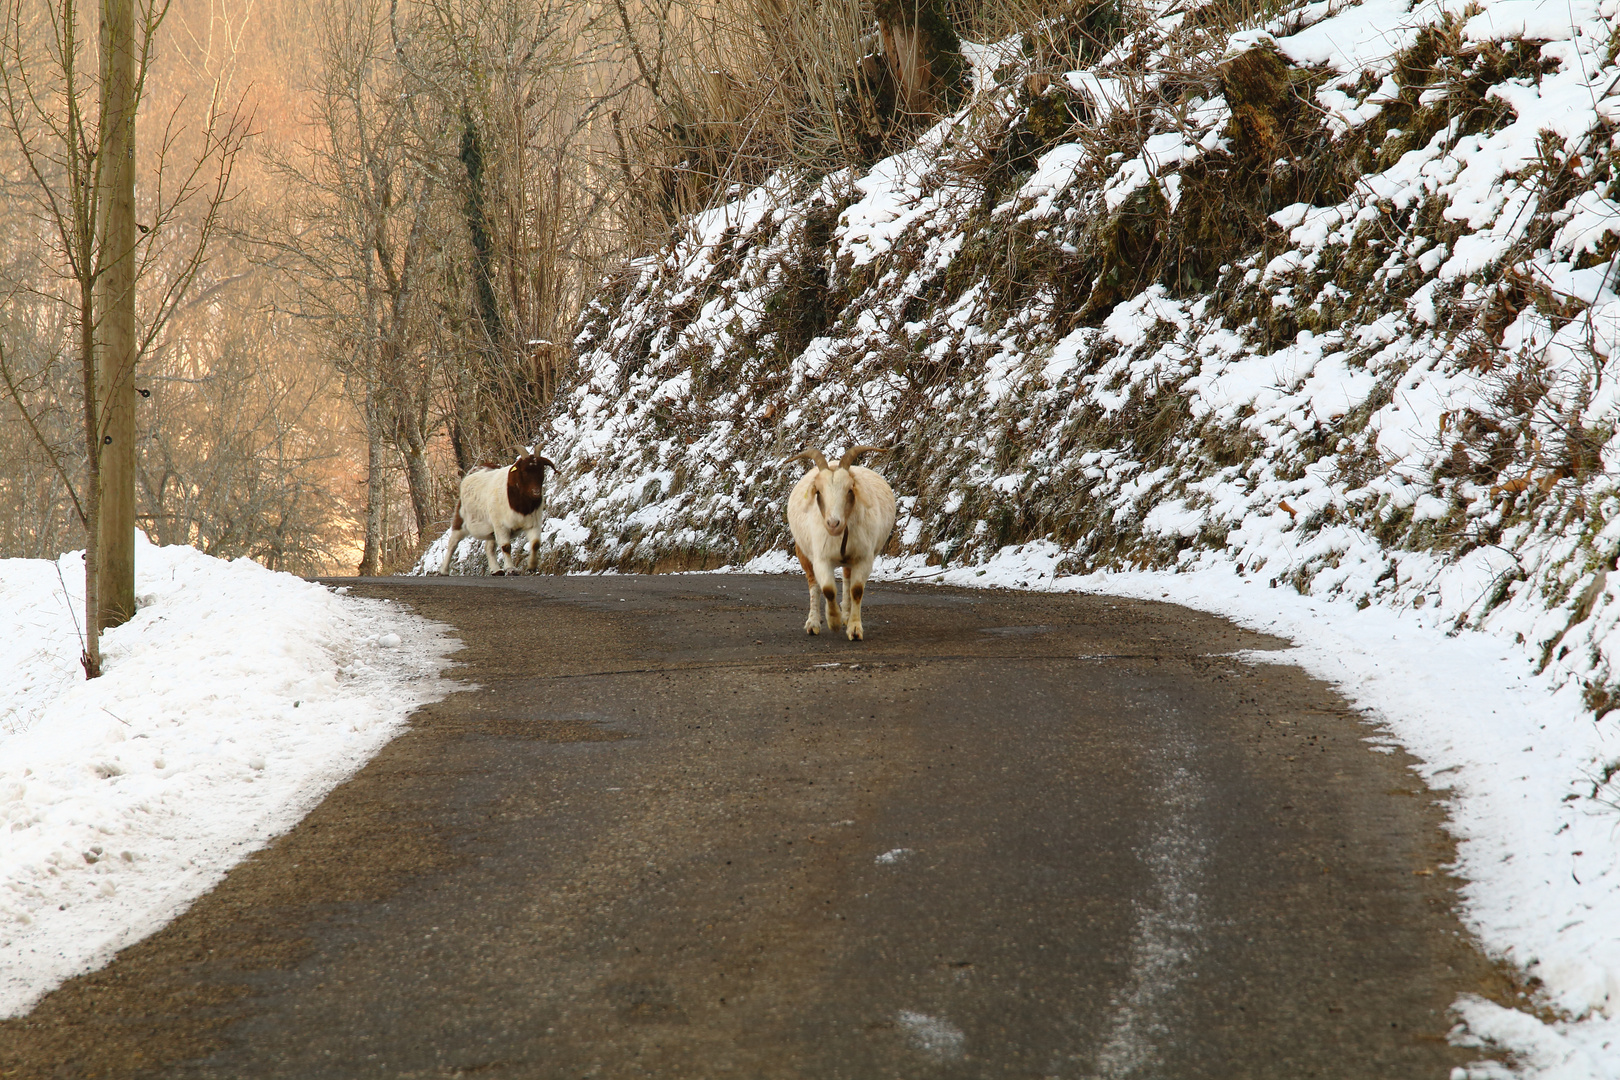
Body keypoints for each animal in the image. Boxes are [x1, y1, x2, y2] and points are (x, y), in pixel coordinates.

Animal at [787, 443, 900, 637]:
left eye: (849, 489)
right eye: (818, 491)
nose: (833, 523)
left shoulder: (863, 557)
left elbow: (856, 590)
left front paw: (854, 628)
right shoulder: (821, 558)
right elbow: (828, 589)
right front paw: (833, 621)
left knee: (847, 580)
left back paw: (846, 614)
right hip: (803, 551)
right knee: (813, 584)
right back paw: (813, 623)